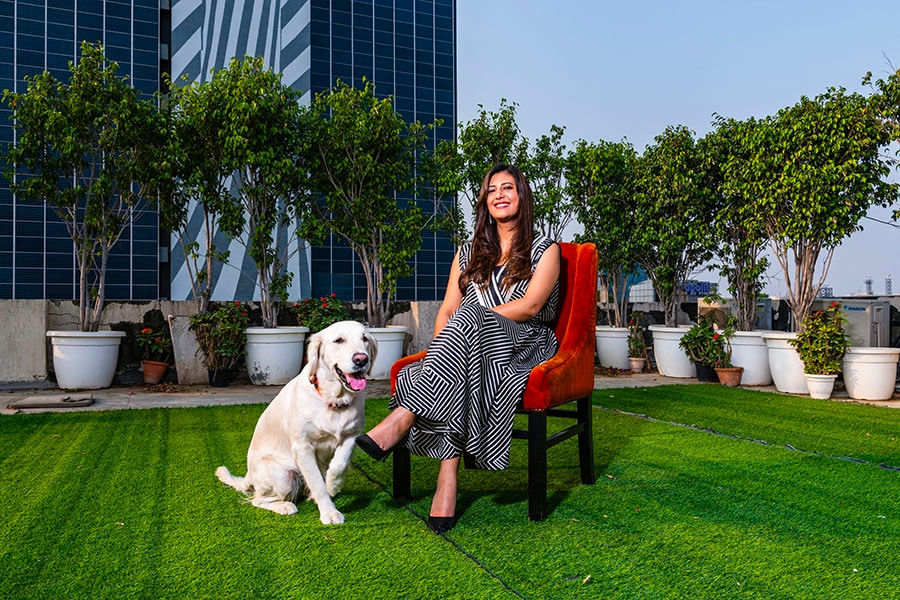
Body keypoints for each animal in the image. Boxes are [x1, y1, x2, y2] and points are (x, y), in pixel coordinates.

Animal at [217, 322, 376, 524]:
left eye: (365, 338)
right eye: (338, 340)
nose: (361, 359)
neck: (334, 401)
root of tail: (249, 475)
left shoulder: (352, 435)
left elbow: (339, 463)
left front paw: (334, 484)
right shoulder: (303, 447)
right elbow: (317, 484)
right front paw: (329, 512)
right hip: (283, 476)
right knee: (257, 500)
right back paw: (284, 506)